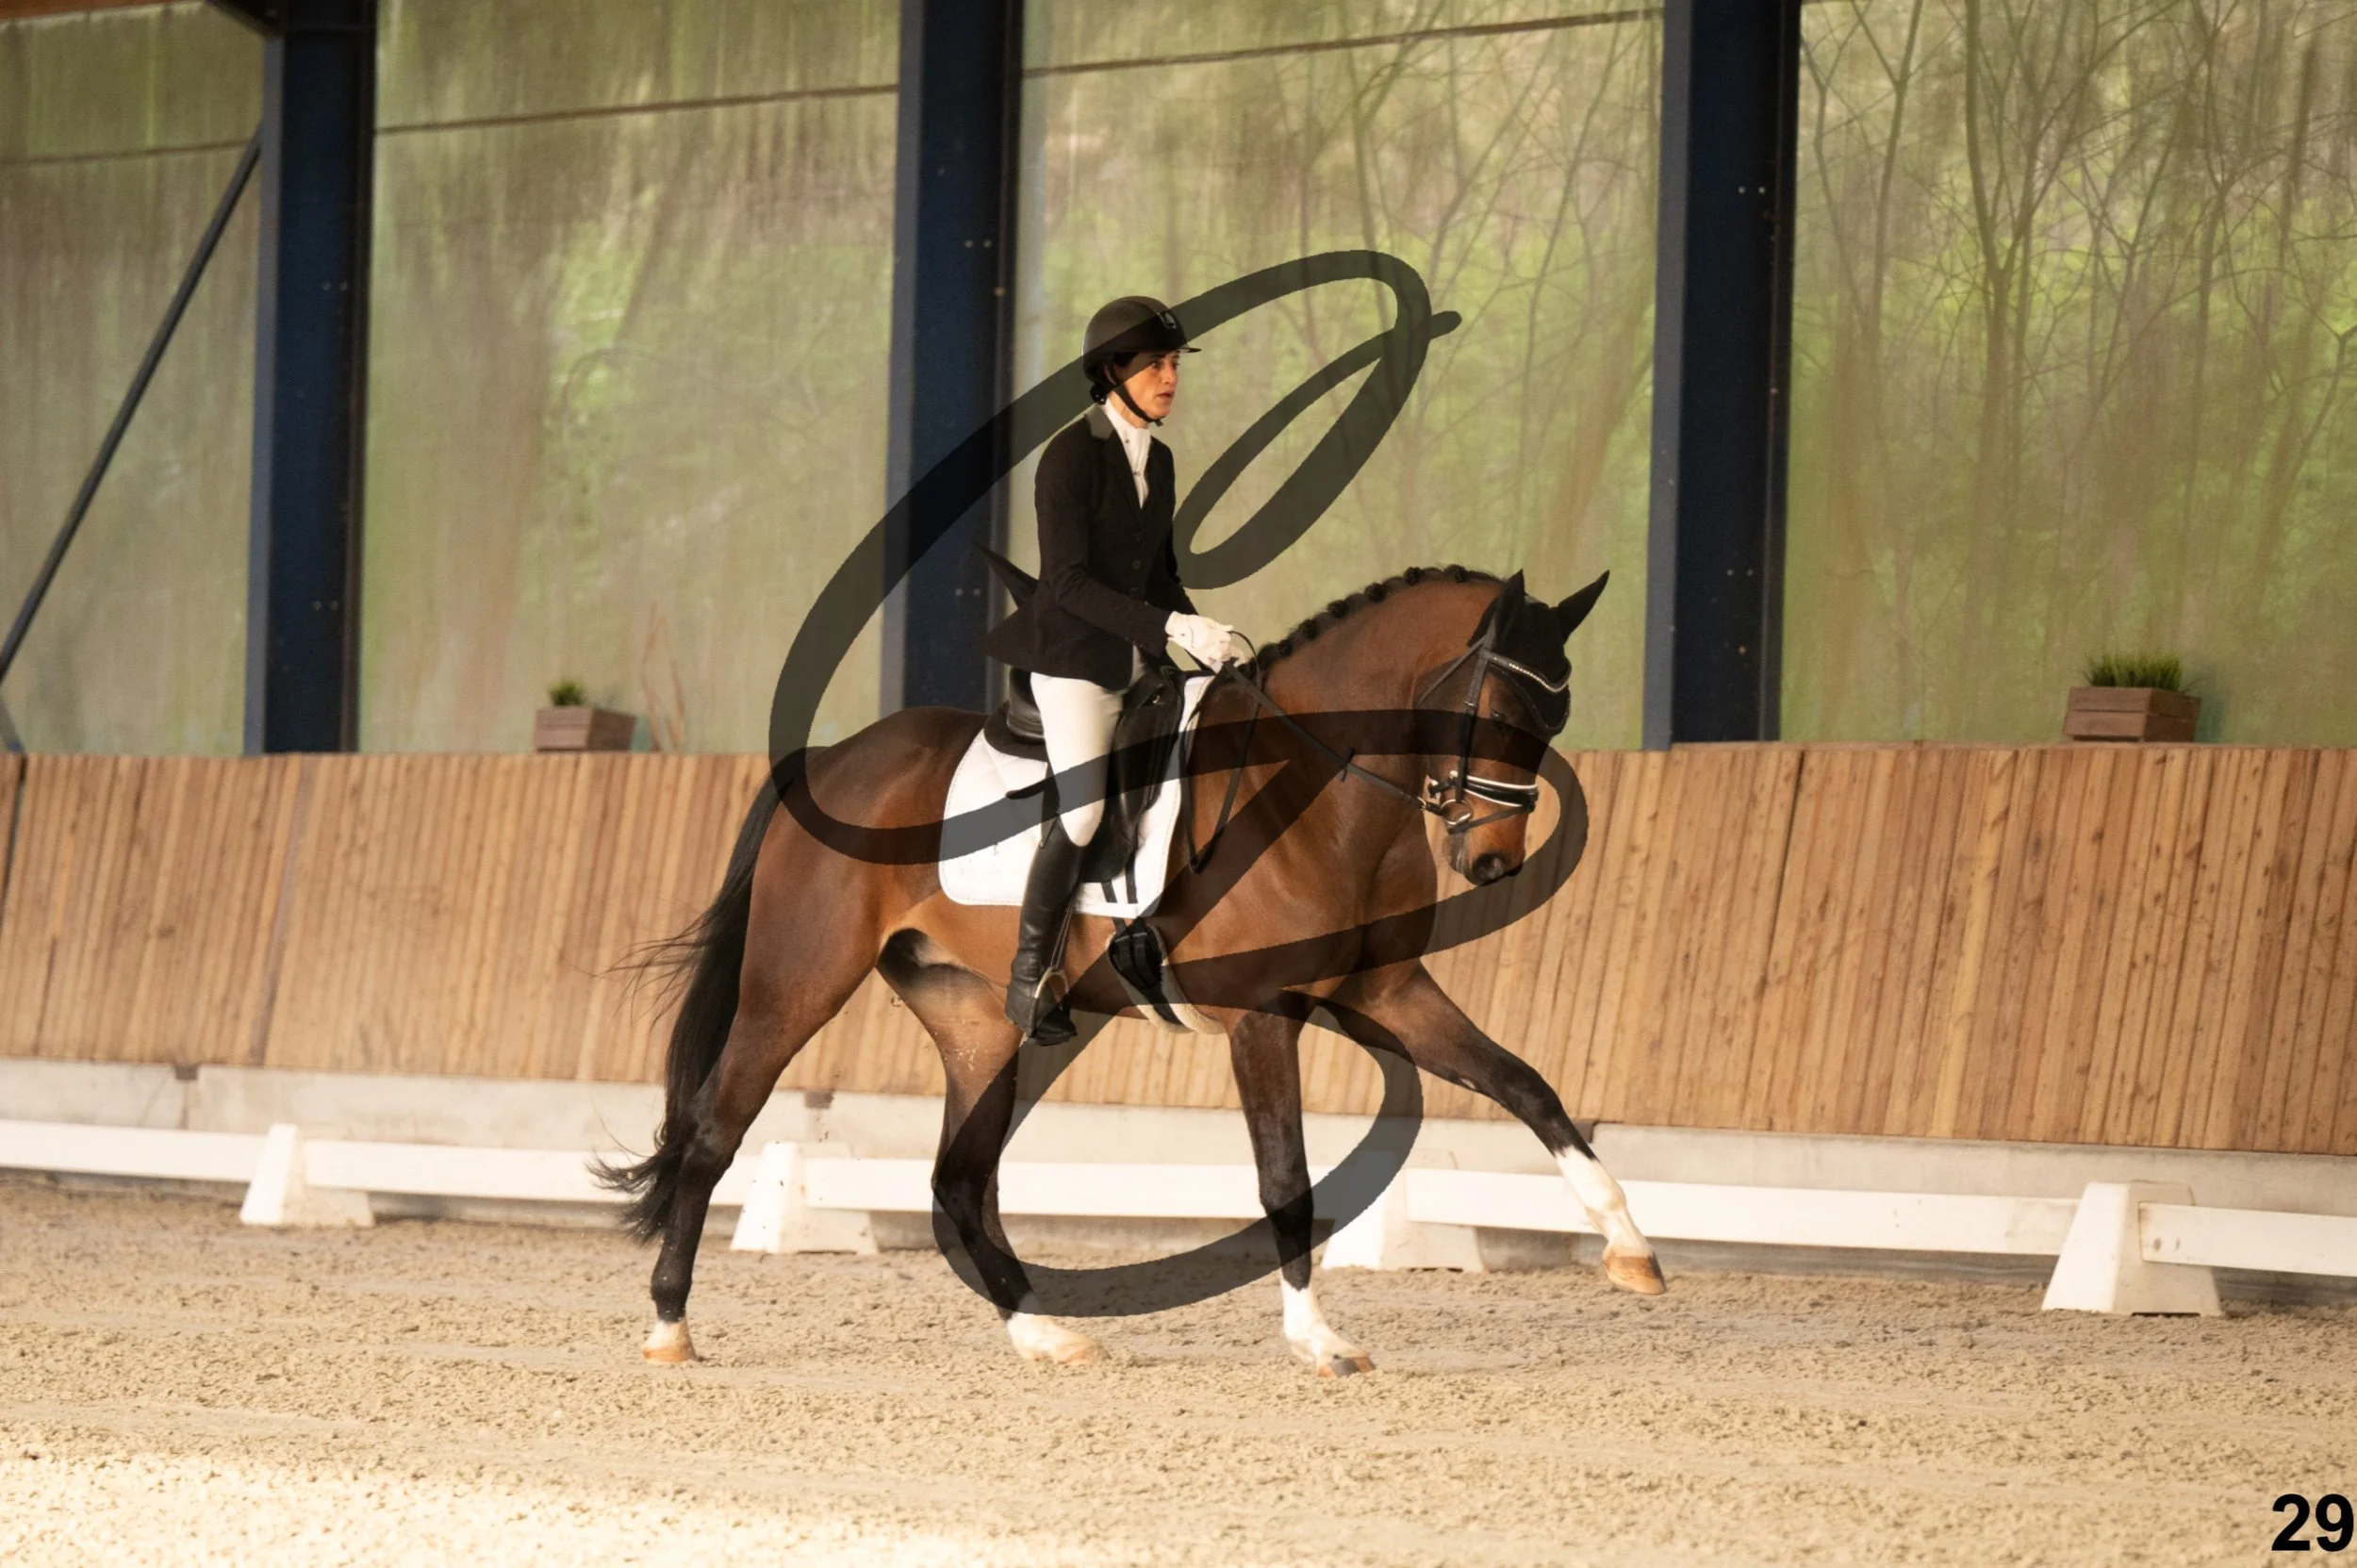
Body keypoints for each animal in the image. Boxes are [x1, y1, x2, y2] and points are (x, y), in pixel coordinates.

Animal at [603, 564, 1665, 1377]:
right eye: (1501, 708)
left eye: (1557, 712)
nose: (1494, 862)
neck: (1317, 787)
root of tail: (829, 761)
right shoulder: (1263, 1014)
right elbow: (1287, 1178)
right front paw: (1319, 1340)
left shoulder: (1383, 991)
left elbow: (1525, 1085)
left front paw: (1630, 1248)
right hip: (795, 985)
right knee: (715, 1135)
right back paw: (669, 1329)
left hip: (974, 1017)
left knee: (959, 1180)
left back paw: (1044, 1334)